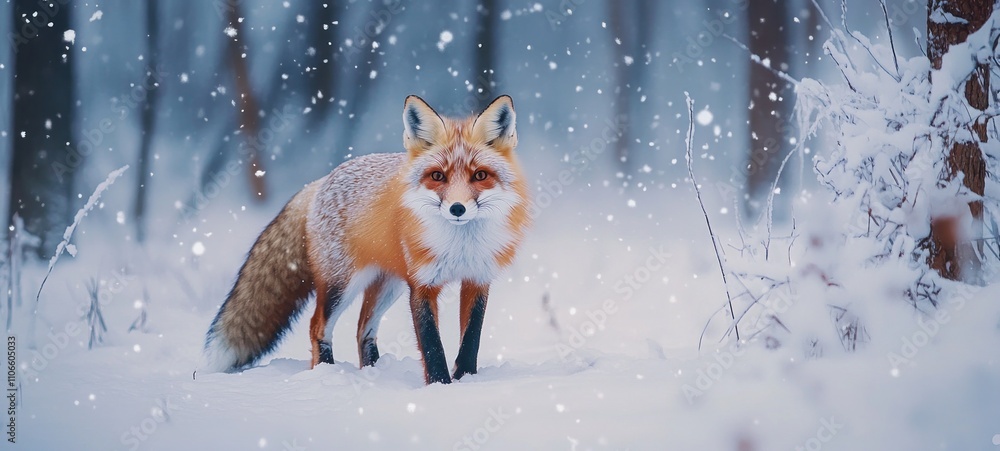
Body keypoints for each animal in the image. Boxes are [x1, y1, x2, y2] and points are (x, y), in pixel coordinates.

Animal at [204, 95, 529, 384]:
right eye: (437, 176)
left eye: (480, 175)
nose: (457, 208)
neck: (460, 246)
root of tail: (320, 182)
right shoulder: (422, 286)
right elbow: (432, 346)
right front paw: (440, 386)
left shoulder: (477, 280)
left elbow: (470, 341)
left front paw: (466, 381)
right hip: (342, 284)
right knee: (317, 326)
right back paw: (326, 373)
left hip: (388, 284)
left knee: (363, 329)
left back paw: (372, 373)